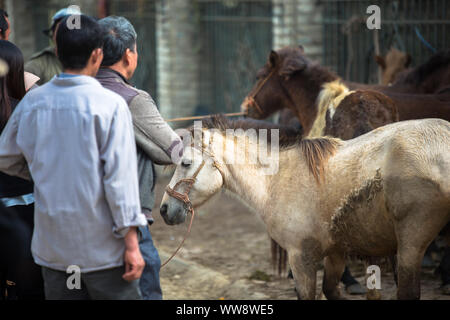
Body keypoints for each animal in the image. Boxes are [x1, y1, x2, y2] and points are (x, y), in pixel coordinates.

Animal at [161, 117, 450, 300]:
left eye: (186, 163)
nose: (164, 209)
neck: (275, 181)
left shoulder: (301, 259)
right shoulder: (336, 253)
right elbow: (332, 291)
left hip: (411, 244)